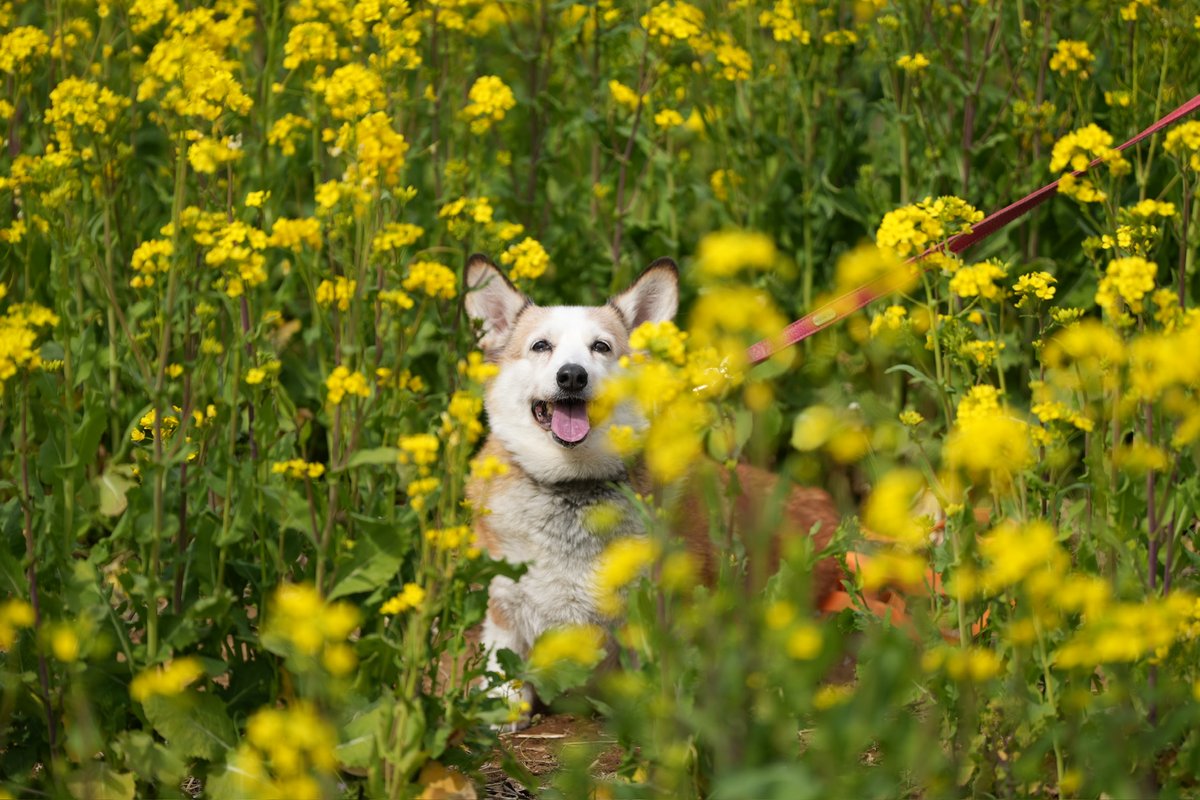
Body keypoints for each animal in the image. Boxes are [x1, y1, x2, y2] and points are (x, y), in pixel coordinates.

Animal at [458, 255, 854, 719]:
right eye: (541, 346)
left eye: (601, 347)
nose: (572, 376)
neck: (575, 486)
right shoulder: (505, 611)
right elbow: (503, 674)